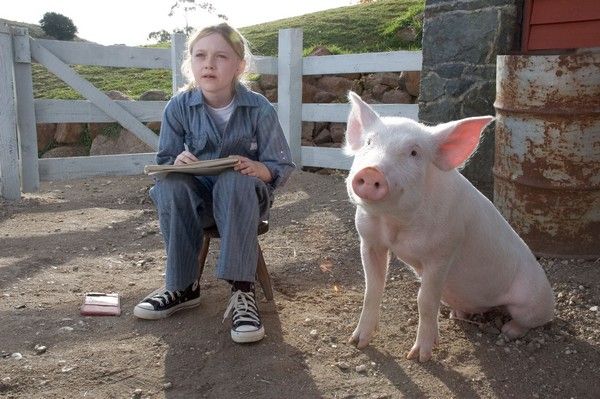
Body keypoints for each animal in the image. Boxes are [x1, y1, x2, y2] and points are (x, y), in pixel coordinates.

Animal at [342, 92, 552, 364]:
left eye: (414, 153)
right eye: (369, 142)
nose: (370, 172)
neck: (395, 225)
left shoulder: (442, 252)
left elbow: (425, 300)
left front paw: (419, 357)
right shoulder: (370, 241)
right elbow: (372, 289)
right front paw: (357, 342)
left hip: (532, 301)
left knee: (529, 320)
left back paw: (508, 330)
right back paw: (456, 315)